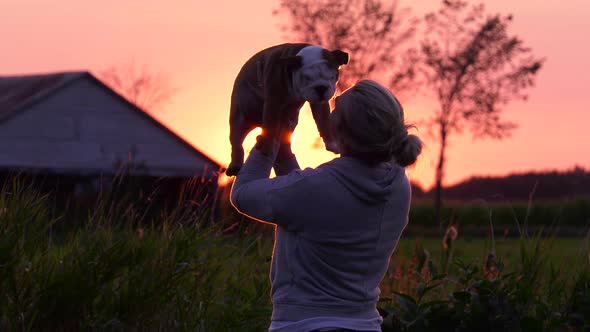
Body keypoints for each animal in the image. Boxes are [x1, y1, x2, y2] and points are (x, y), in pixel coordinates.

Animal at [225, 43, 346, 176]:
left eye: (332, 76)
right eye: (306, 78)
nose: (321, 87)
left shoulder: (320, 104)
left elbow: (323, 121)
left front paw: (332, 143)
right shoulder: (273, 102)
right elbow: (271, 127)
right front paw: (267, 147)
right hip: (239, 119)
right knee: (236, 143)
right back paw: (235, 166)